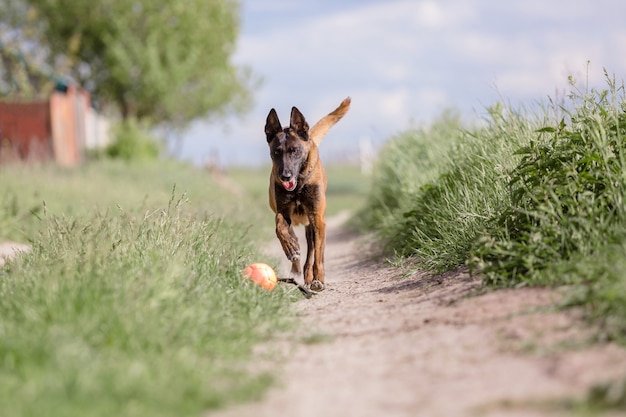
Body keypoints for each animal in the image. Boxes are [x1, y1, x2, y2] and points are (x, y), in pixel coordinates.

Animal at [264, 96, 352, 290]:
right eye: (276, 152)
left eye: (294, 151)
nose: (285, 176)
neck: (298, 186)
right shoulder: (283, 212)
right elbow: (279, 227)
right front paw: (290, 247)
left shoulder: (317, 219)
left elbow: (318, 254)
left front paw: (318, 279)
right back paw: (295, 264)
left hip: (311, 225)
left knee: (312, 252)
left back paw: (309, 275)